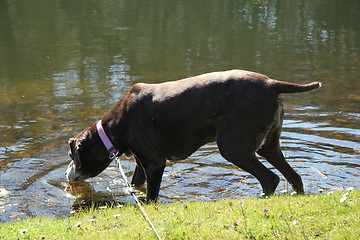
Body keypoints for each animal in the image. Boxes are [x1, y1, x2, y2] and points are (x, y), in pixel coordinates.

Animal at [66, 70, 322, 202]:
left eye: (72, 156)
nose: (68, 174)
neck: (114, 128)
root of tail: (272, 84)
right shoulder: (141, 163)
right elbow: (135, 184)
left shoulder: (155, 163)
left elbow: (150, 197)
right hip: (268, 146)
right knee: (294, 177)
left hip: (233, 147)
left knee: (270, 179)